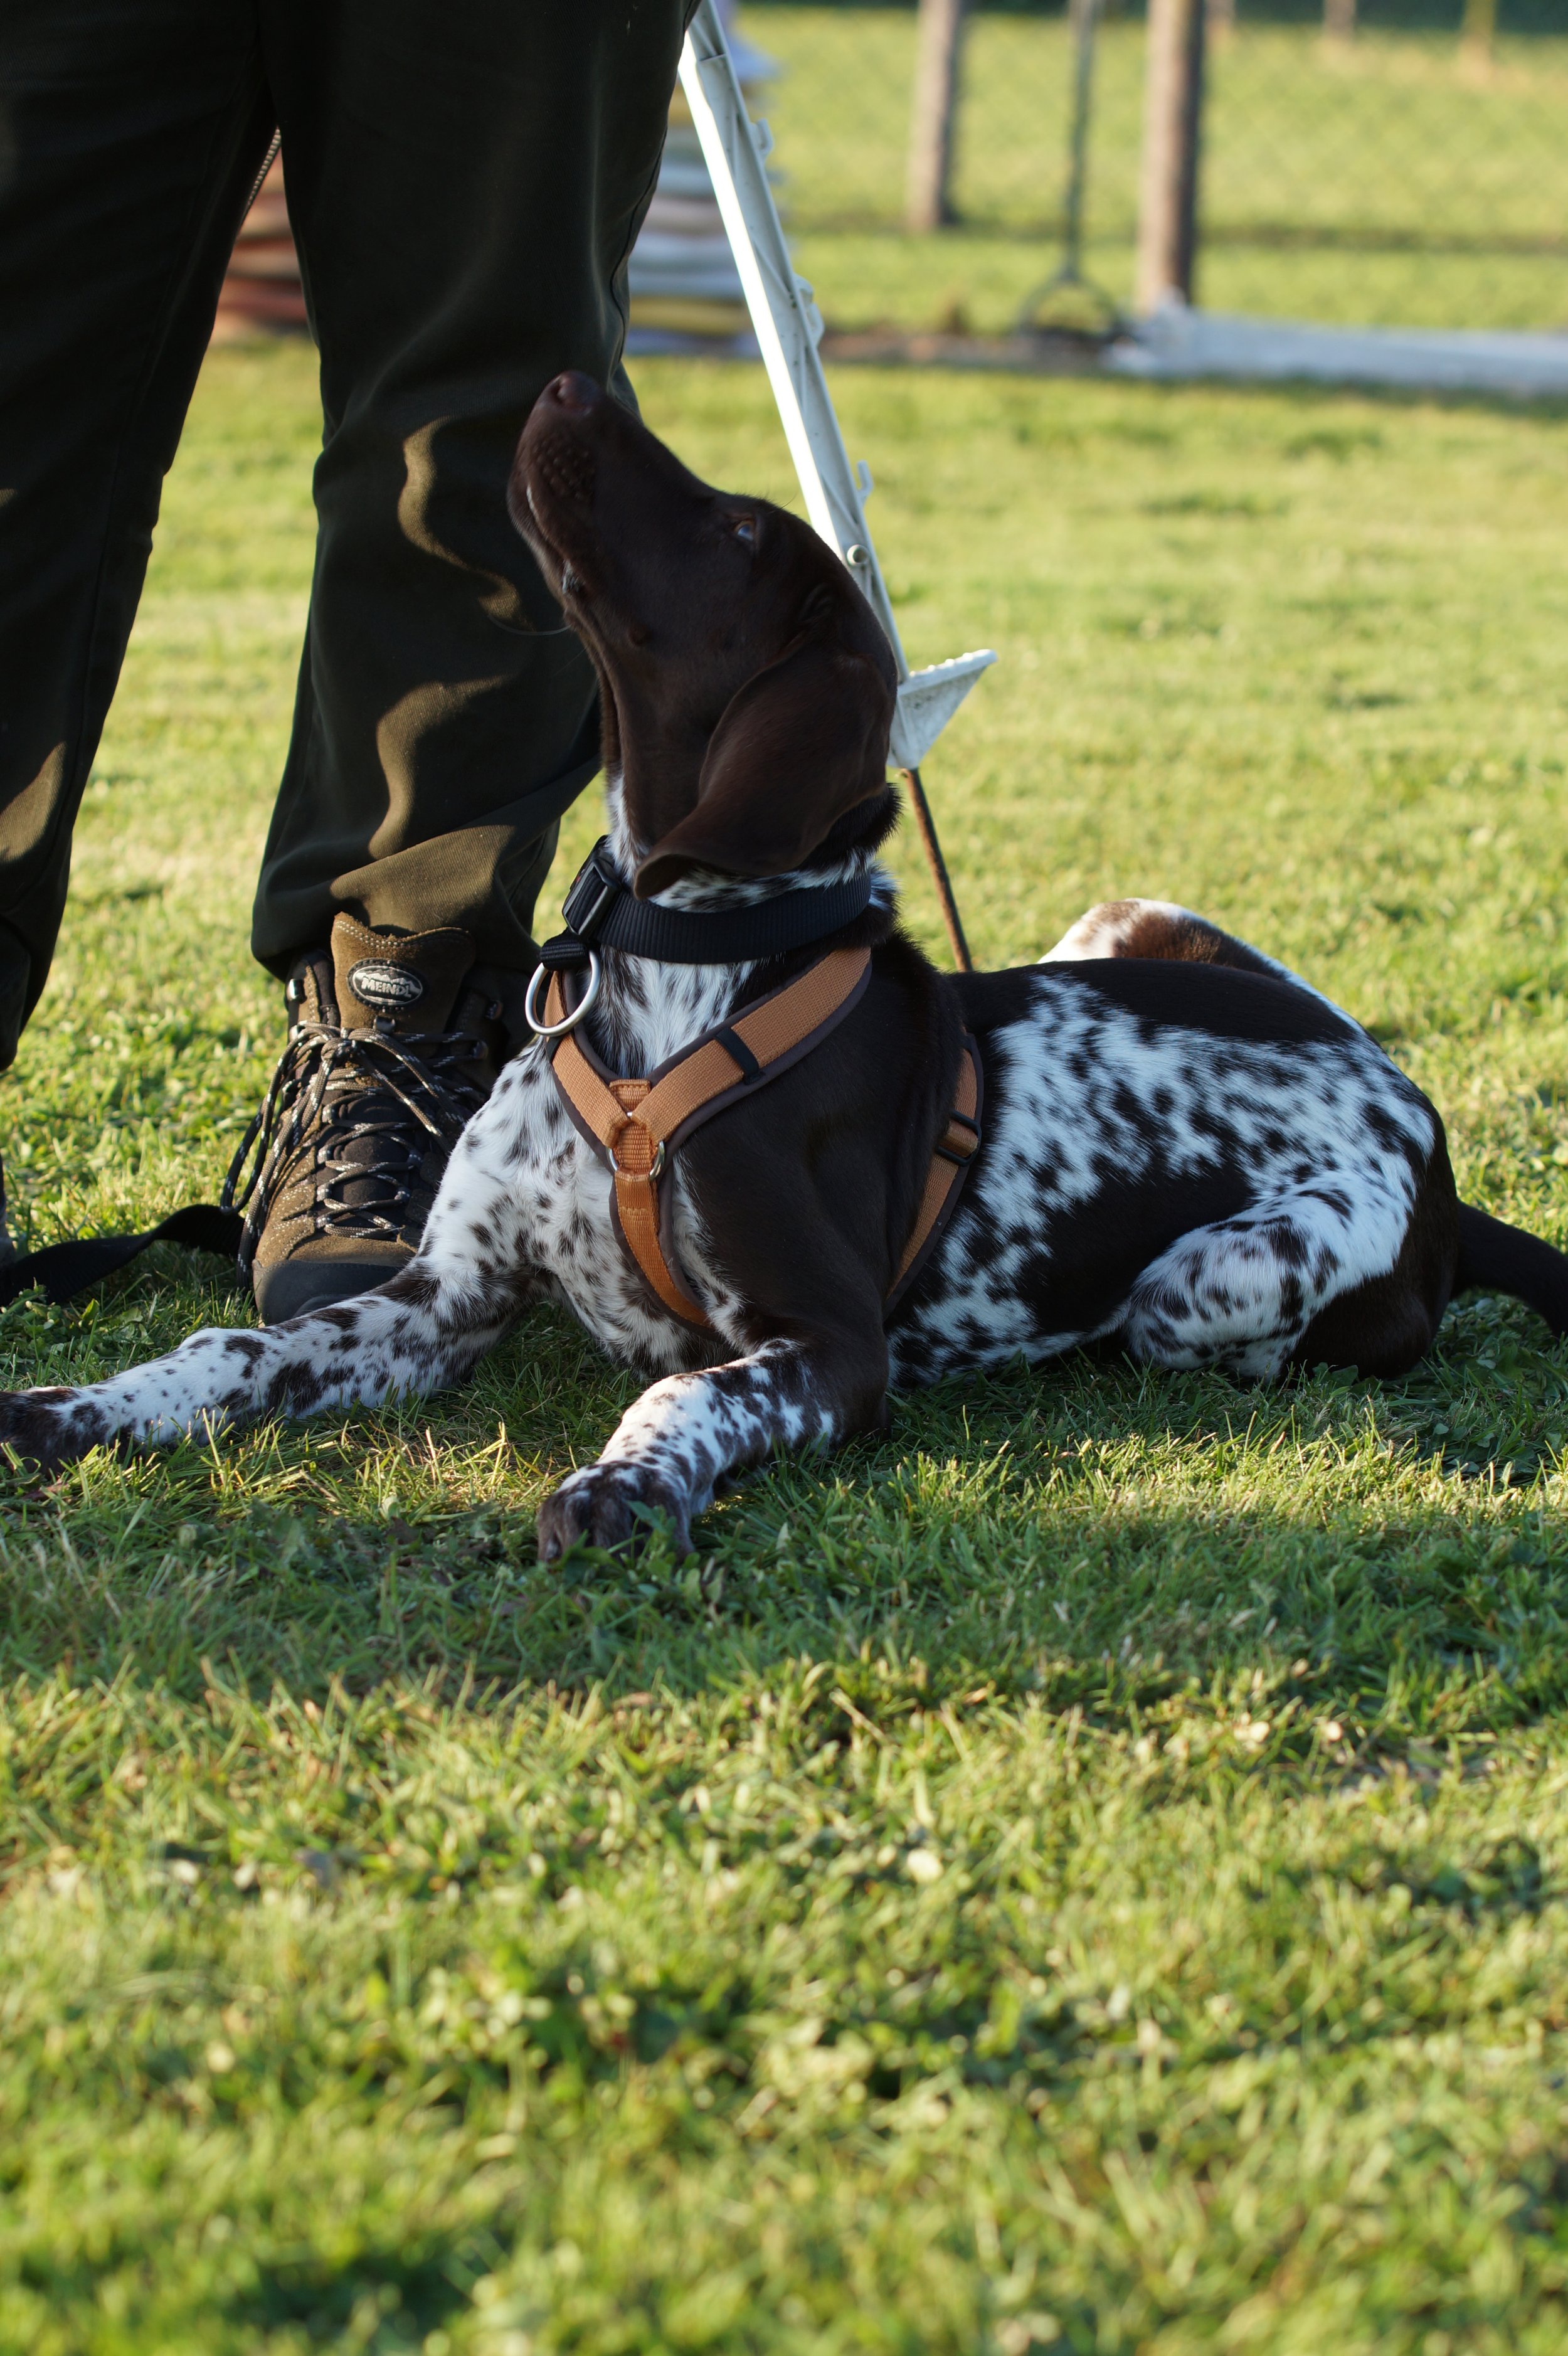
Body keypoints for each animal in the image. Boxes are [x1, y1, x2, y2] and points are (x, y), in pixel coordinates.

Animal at [3, 370, 1565, 1558]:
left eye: (741, 533)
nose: (569, 384)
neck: (666, 972)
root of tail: (1416, 1118)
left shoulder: (824, 1341)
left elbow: (682, 1400)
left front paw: (622, 1485)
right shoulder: (441, 1297)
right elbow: (232, 1352)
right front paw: (78, 1410)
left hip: (1208, 1283)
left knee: (1186, 1323)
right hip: (1127, 917)